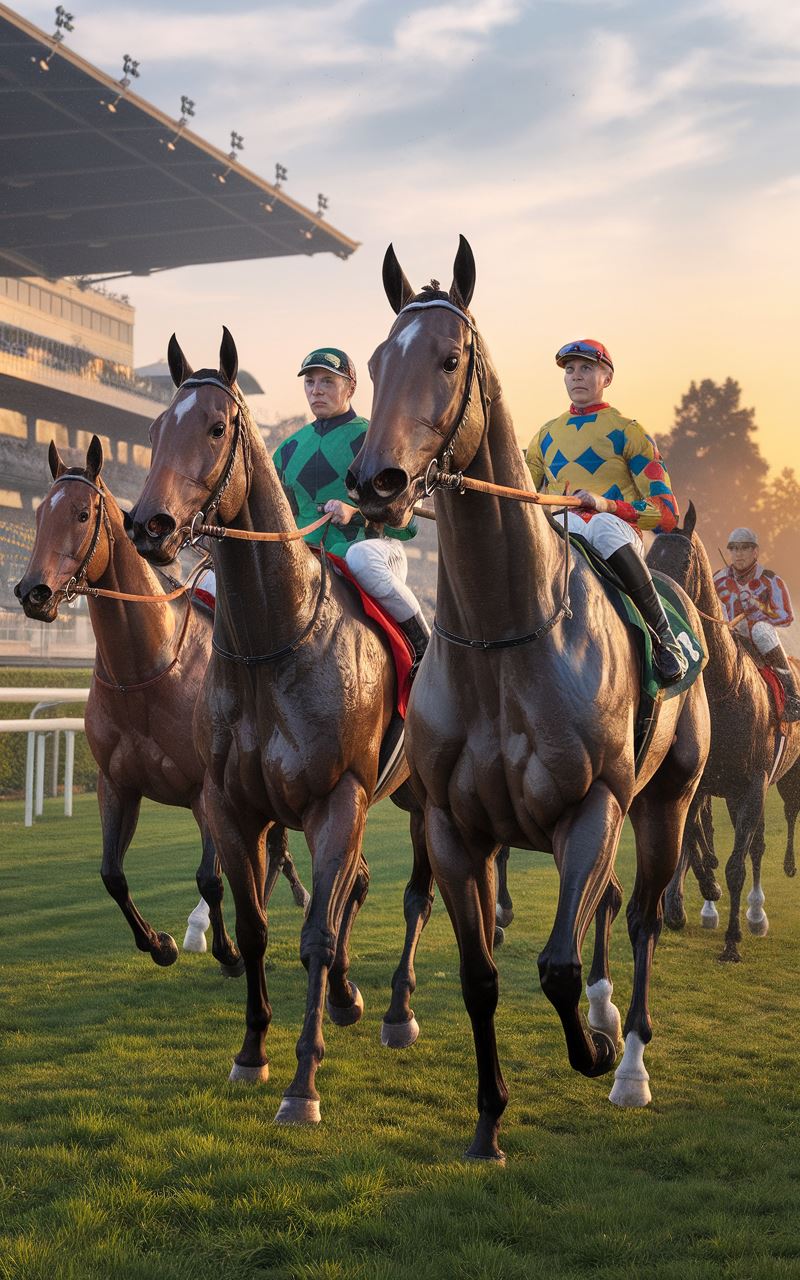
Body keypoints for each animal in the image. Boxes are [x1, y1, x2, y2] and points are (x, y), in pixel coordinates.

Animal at [15, 437, 308, 967]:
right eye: (40, 513)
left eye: (82, 513)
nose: (33, 593)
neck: (144, 674)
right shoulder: (116, 784)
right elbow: (111, 874)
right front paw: (161, 943)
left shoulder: (204, 789)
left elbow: (210, 878)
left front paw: (227, 949)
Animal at [127, 330, 432, 1121]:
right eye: (153, 426)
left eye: (216, 427)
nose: (150, 526)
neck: (276, 643)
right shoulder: (236, 806)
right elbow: (259, 927)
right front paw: (251, 1054)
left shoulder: (337, 798)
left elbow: (316, 932)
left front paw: (303, 1083)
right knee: (360, 885)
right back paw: (352, 997)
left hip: (421, 798)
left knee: (416, 894)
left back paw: (395, 1009)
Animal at [345, 238, 706, 1162]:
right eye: (375, 361)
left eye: (448, 358)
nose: (377, 481)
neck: (508, 638)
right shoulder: (454, 824)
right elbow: (481, 976)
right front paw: (487, 1122)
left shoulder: (593, 805)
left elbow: (557, 966)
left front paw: (598, 1048)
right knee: (610, 909)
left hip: (665, 799)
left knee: (643, 916)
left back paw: (629, 1058)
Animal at [645, 504, 798, 957]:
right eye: (649, 554)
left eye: (682, 560)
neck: (726, 689)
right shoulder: (700, 780)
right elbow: (691, 840)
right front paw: (690, 900)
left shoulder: (752, 785)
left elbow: (736, 864)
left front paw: (732, 940)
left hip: (779, 782)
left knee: (764, 843)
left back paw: (756, 913)